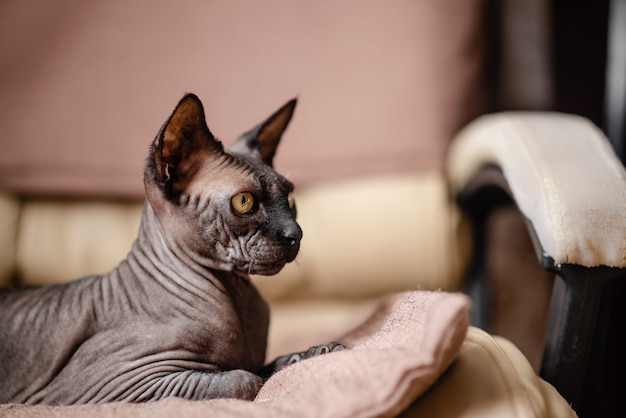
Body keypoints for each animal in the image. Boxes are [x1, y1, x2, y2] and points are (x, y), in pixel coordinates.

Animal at [0, 93, 342, 404]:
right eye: (244, 202)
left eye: (291, 199)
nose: (295, 233)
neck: (235, 297)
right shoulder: (111, 387)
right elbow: (245, 379)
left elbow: (268, 367)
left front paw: (316, 353)